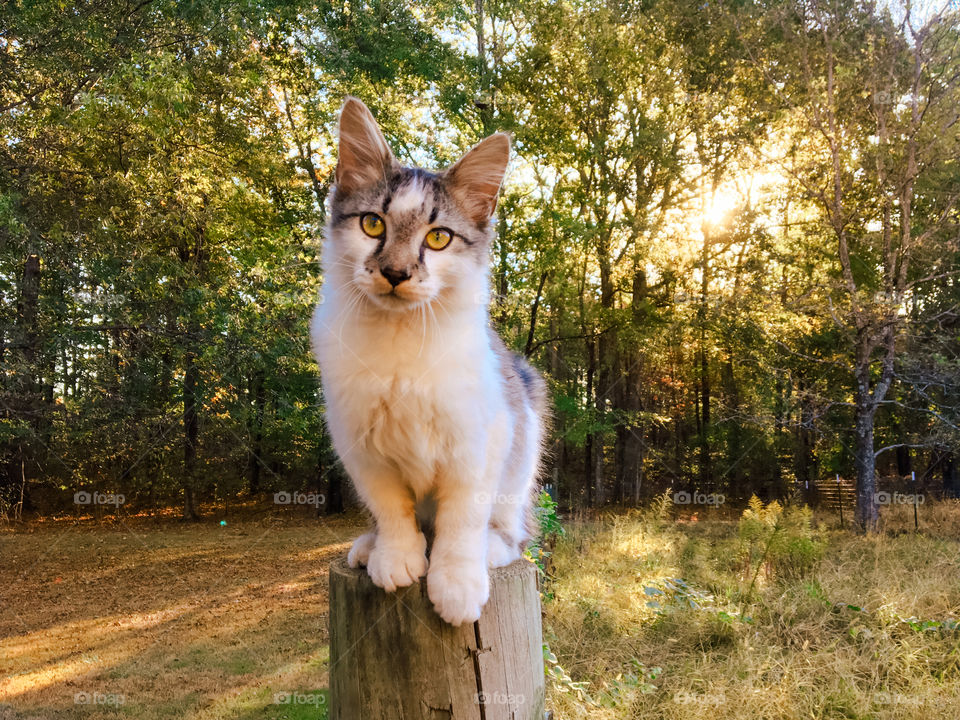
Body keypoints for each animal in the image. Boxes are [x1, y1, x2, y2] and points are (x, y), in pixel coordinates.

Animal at [310, 98, 548, 628]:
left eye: (438, 238)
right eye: (372, 224)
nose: (396, 273)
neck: (400, 340)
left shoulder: (478, 446)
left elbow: (460, 523)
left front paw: (456, 582)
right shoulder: (359, 446)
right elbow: (392, 510)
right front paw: (397, 557)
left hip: (520, 462)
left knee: (513, 534)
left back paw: (491, 551)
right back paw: (371, 547)